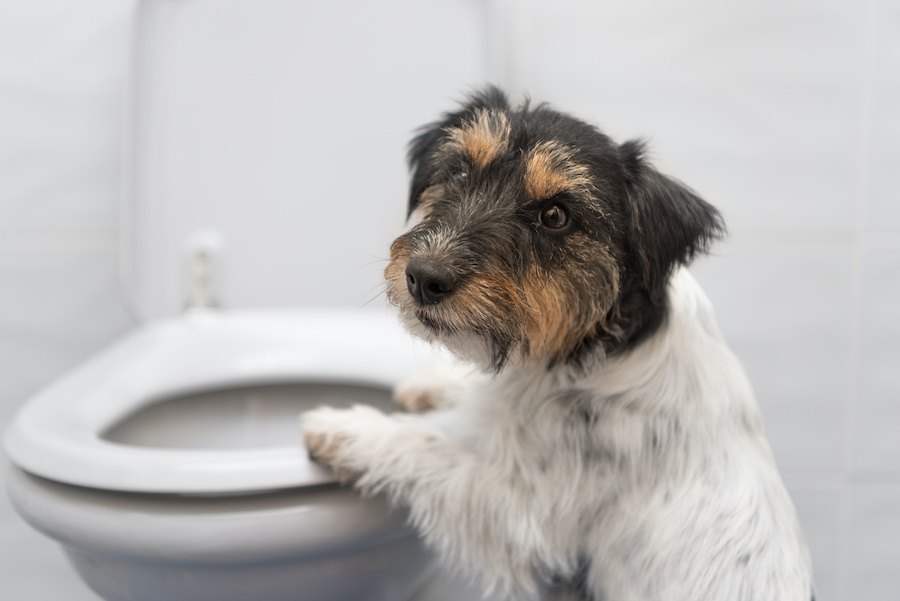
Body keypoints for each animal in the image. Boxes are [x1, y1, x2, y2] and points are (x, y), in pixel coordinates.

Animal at [302, 85, 816, 600]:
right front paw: (432, 383)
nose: (423, 278)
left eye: (555, 215)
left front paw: (347, 428)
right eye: (461, 170)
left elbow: (427, 446)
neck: (599, 345)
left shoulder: (520, 512)